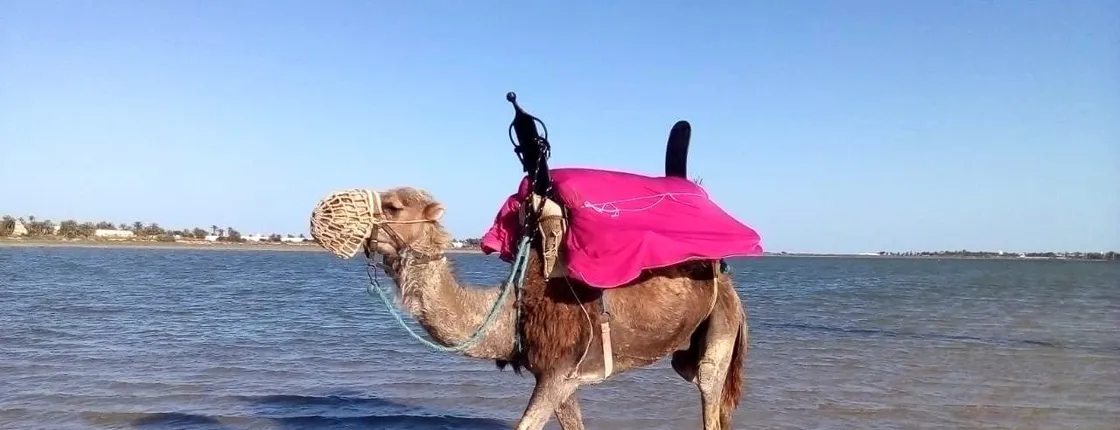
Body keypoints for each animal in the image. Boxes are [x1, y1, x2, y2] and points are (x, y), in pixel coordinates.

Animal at [339, 186, 750, 430]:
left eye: (393, 206)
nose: (346, 219)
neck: (515, 310)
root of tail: (728, 282)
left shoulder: (557, 372)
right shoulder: (563, 379)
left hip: (721, 327)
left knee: (709, 388)